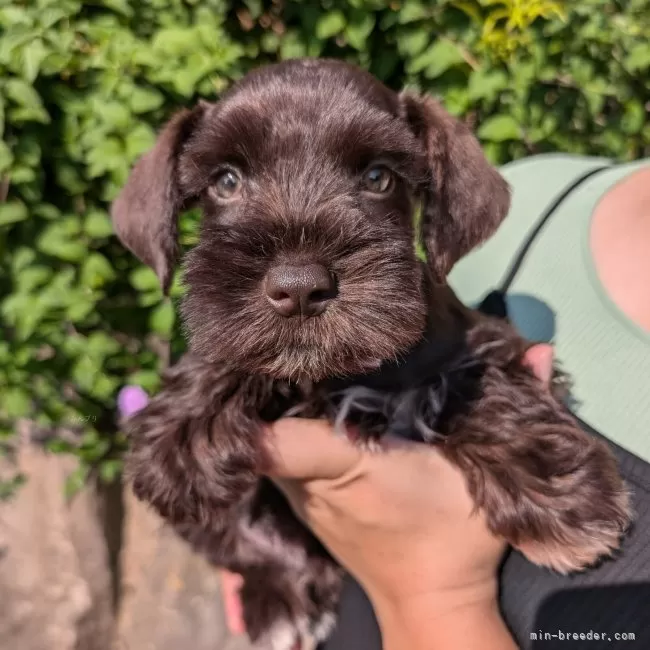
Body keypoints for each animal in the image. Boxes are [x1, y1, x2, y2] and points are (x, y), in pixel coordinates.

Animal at [110, 59, 628, 648]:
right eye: (226, 181)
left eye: (379, 177)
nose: (299, 287)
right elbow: (238, 518)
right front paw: (185, 429)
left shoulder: (484, 339)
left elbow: (484, 388)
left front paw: (561, 495)